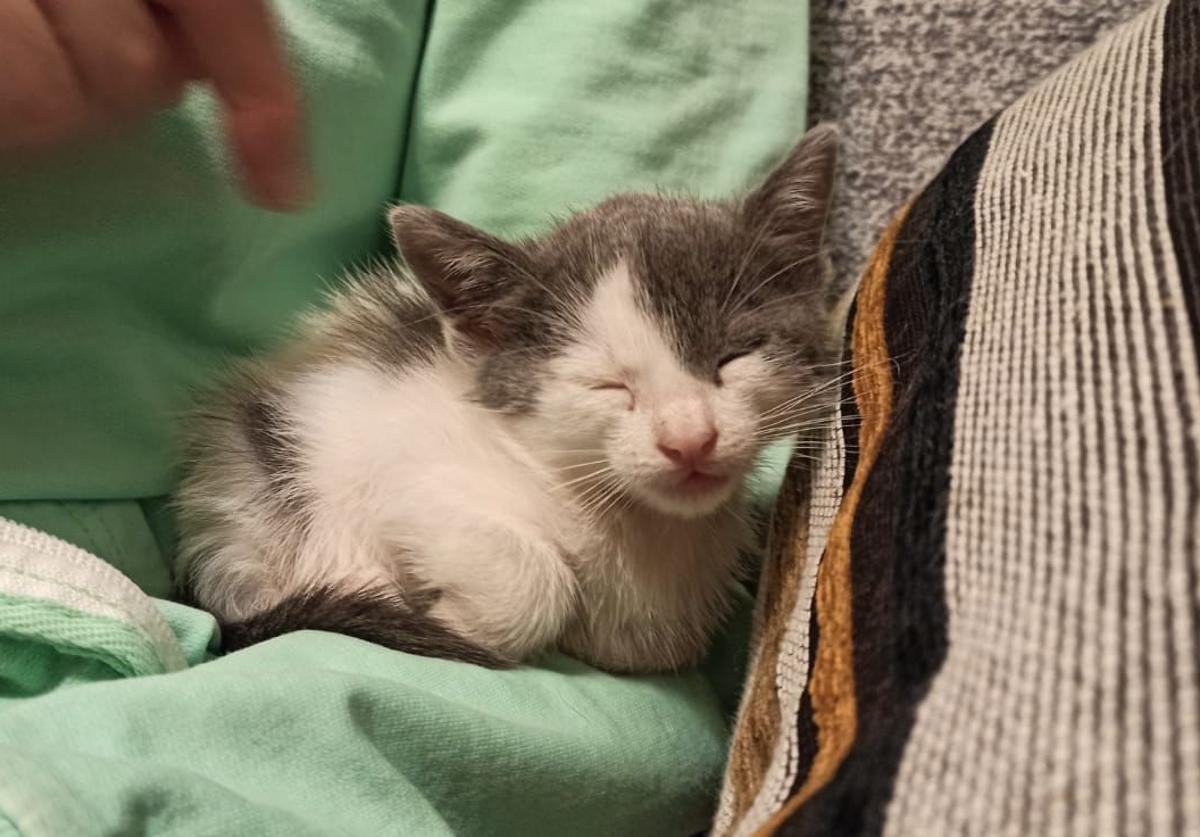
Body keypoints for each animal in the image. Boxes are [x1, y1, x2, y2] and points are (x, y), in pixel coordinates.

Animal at [175, 122, 844, 671]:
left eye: (733, 356)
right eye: (607, 383)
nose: (690, 440)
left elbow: (649, 644)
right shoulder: (390, 471)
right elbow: (532, 577)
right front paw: (449, 618)